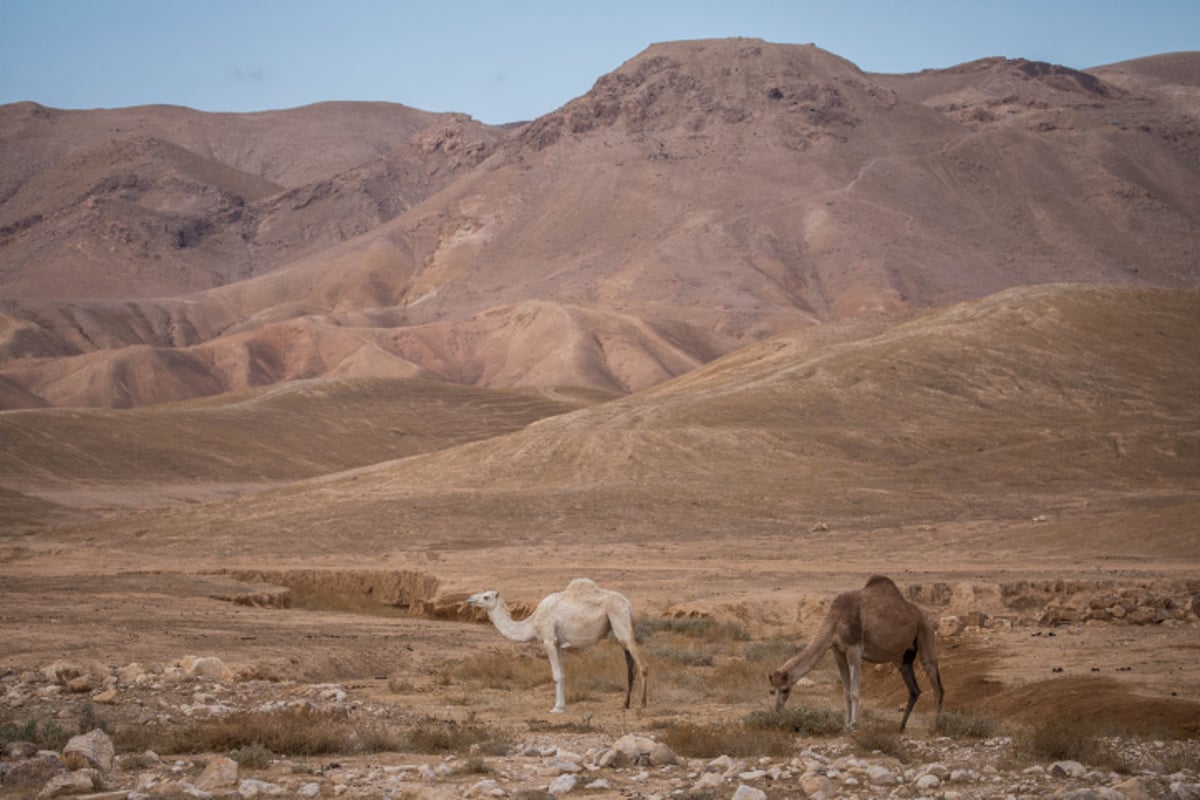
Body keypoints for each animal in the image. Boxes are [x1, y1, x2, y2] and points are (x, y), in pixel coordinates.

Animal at [465, 575, 648, 714]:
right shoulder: (558, 643)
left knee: (641, 665)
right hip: (620, 626)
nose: (469, 599)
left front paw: (557, 708)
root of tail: (629, 605)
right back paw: (625, 704)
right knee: (630, 665)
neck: (532, 623)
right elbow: (563, 674)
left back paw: (643, 704)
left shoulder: (548, 639)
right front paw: (562, 705)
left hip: (620, 621)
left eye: (486, 597)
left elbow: (556, 675)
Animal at [768, 575, 945, 734]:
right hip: (903, 656)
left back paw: (934, 727)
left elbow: (854, 691)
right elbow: (846, 692)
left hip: (925, 632)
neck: (835, 621)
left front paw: (854, 725)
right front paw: (846, 724)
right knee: (914, 689)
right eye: (772, 690)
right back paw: (901, 727)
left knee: (936, 683)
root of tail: (923, 615)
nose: (777, 709)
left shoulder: (855, 650)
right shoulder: (838, 652)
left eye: (785, 689)